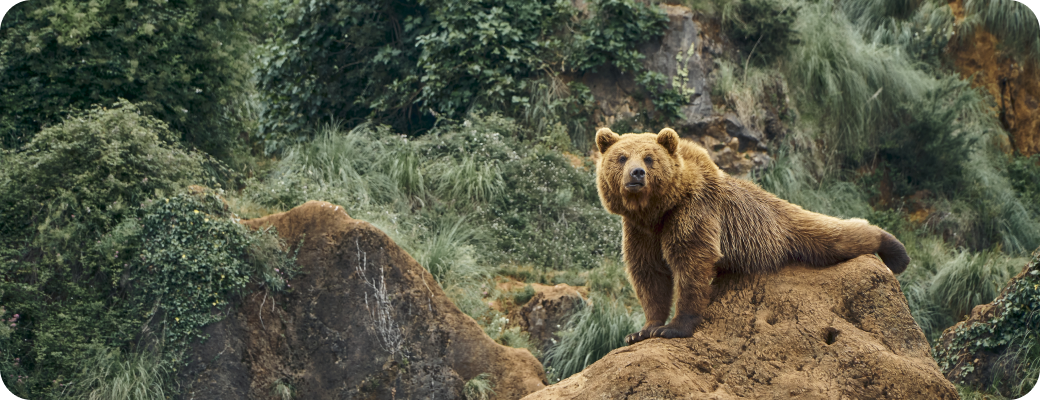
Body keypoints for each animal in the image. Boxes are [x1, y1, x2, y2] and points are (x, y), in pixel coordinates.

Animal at [594, 126, 911, 342]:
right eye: (621, 157)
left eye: (649, 158)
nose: (636, 174)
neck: (657, 210)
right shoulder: (640, 232)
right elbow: (649, 274)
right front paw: (642, 330)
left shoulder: (693, 212)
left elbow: (691, 263)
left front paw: (673, 327)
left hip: (782, 227)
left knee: (833, 235)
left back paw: (895, 251)